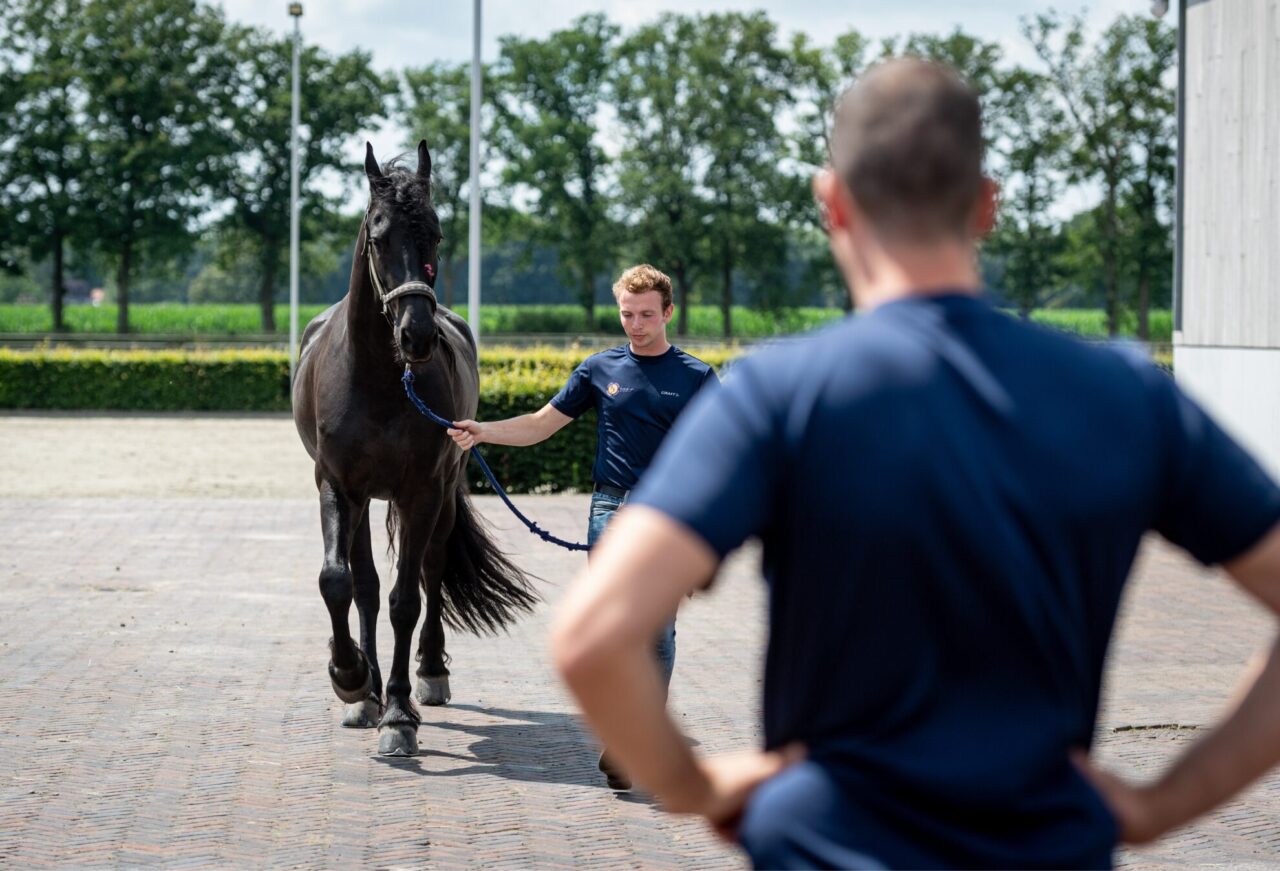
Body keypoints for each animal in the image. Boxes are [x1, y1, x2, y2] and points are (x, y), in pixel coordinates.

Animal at [292, 141, 537, 756]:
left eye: (437, 236)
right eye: (378, 235)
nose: (418, 335)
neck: (380, 380)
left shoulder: (422, 491)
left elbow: (408, 598)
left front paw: (400, 714)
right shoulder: (337, 485)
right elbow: (340, 582)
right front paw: (352, 679)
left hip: (442, 495)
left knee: (430, 571)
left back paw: (428, 672)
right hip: (364, 502)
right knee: (365, 587)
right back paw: (367, 692)